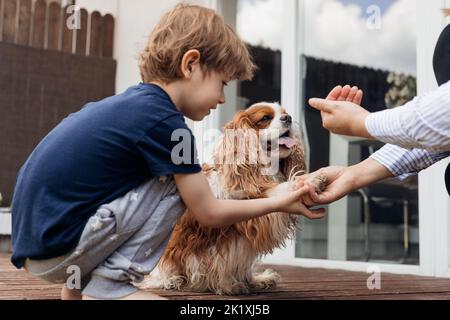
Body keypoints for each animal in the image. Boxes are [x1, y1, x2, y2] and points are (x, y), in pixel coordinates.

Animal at [142, 102, 324, 296]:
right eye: (265, 118)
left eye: (285, 113)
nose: (288, 118)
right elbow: (278, 191)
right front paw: (308, 181)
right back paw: (172, 280)